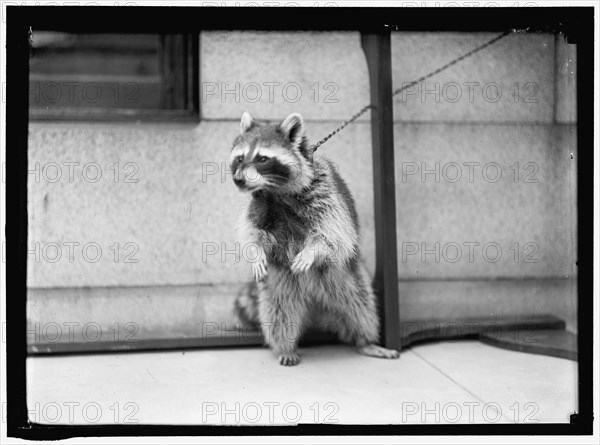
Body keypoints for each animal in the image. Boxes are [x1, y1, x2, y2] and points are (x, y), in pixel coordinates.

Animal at [229, 111, 398, 364]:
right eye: (240, 158)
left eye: (262, 158)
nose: (239, 180)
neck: (277, 190)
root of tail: (317, 302)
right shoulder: (259, 203)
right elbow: (252, 231)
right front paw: (255, 253)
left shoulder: (325, 193)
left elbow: (333, 233)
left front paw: (311, 251)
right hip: (281, 283)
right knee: (280, 313)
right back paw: (285, 347)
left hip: (346, 277)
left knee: (361, 306)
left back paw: (364, 340)